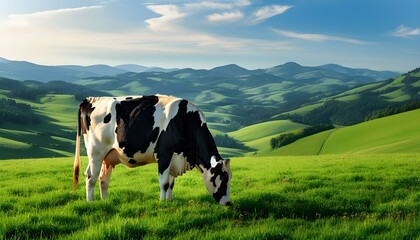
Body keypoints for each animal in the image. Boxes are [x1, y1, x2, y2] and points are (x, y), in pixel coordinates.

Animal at [74, 94, 233, 205]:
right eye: (223, 177)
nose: (228, 203)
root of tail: (90, 100)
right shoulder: (164, 154)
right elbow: (164, 183)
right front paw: (162, 202)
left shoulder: (174, 158)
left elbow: (171, 183)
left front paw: (170, 201)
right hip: (96, 152)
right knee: (91, 176)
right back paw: (90, 202)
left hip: (108, 156)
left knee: (103, 179)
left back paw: (105, 201)